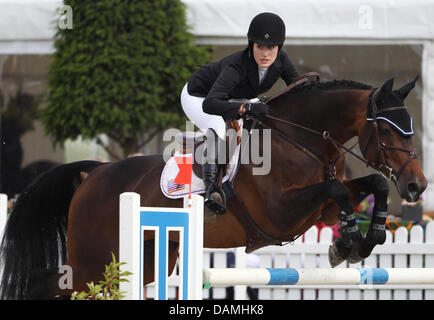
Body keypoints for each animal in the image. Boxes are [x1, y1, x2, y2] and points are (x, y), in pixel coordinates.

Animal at [0, 76, 428, 298]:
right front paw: (348, 243)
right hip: (94, 262)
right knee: (56, 283)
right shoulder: (281, 213)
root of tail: (95, 175)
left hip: (145, 259)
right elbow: (339, 193)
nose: (416, 186)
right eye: (389, 130)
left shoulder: (317, 208)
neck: (300, 138)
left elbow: (371, 184)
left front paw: (365, 239)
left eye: (409, 127)